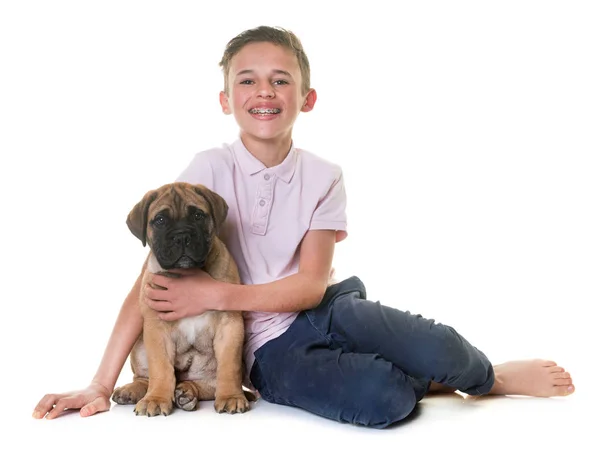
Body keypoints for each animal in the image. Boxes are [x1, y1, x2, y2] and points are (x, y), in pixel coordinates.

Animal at [111, 182, 252, 416]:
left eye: (197, 215)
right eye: (160, 220)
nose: (182, 236)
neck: (186, 275)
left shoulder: (229, 326)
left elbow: (229, 367)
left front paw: (231, 396)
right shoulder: (157, 328)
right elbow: (160, 368)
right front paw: (156, 399)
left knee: (206, 385)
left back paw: (186, 392)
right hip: (139, 346)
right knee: (145, 377)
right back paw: (133, 391)